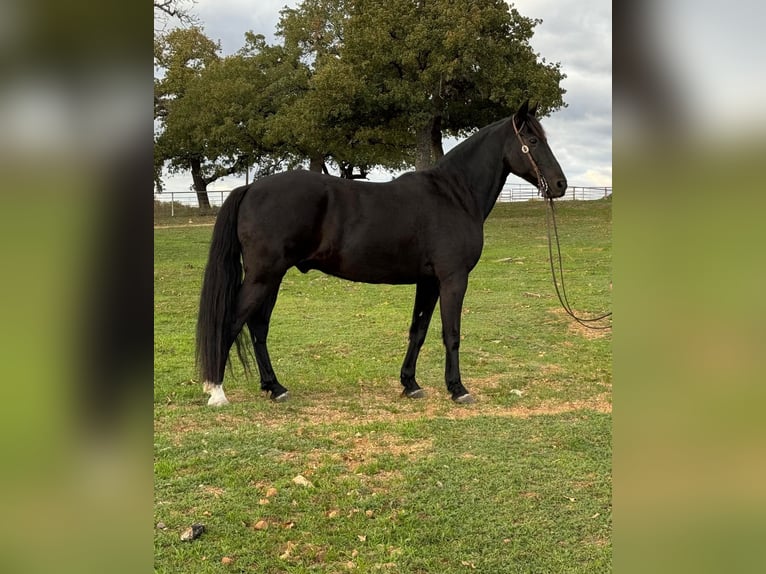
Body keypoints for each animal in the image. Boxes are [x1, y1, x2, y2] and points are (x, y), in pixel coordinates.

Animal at [198, 102, 568, 410]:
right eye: (532, 140)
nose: (560, 185)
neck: (454, 195)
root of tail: (250, 188)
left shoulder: (428, 282)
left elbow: (418, 330)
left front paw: (410, 384)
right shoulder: (452, 279)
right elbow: (451, 334)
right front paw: (458, 389)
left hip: (271, 278)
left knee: (258, 327)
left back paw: (275, 387)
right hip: (263, 276)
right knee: (234, 322)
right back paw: (217, 392)